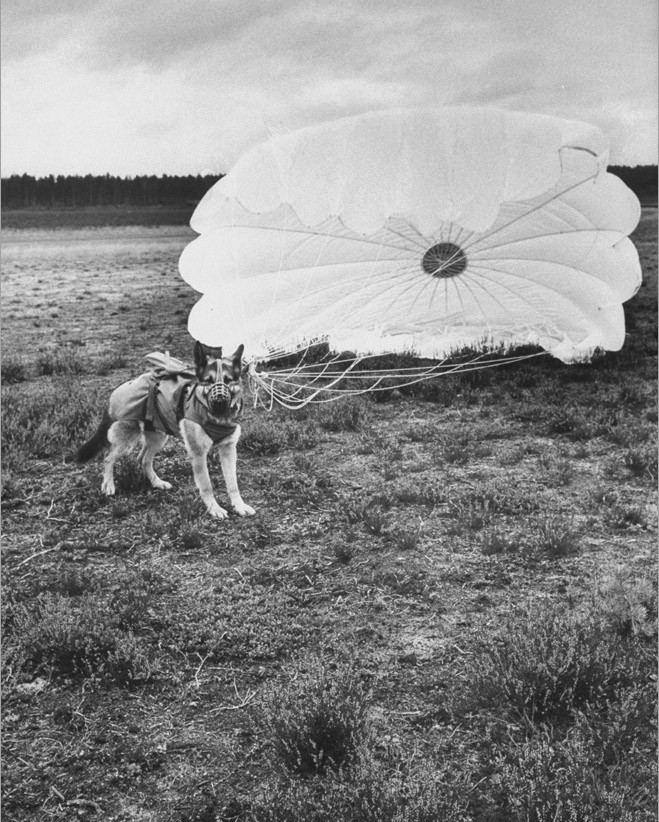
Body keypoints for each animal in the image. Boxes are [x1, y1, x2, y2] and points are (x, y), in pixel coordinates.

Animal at [70, 342, 255, 520]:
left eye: (228, 380)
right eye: (208, 381)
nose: (219, 400)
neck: (216, 418)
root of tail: (116, 392)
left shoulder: (228, 451)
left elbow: (233, 484)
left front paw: (239, 506)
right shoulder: (198, 455)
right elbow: (207, 486)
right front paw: (214, 509)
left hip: (159, 437)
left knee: (143, 459)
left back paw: (157, 482)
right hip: (127, 442)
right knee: (108, 458)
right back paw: (108, 485)